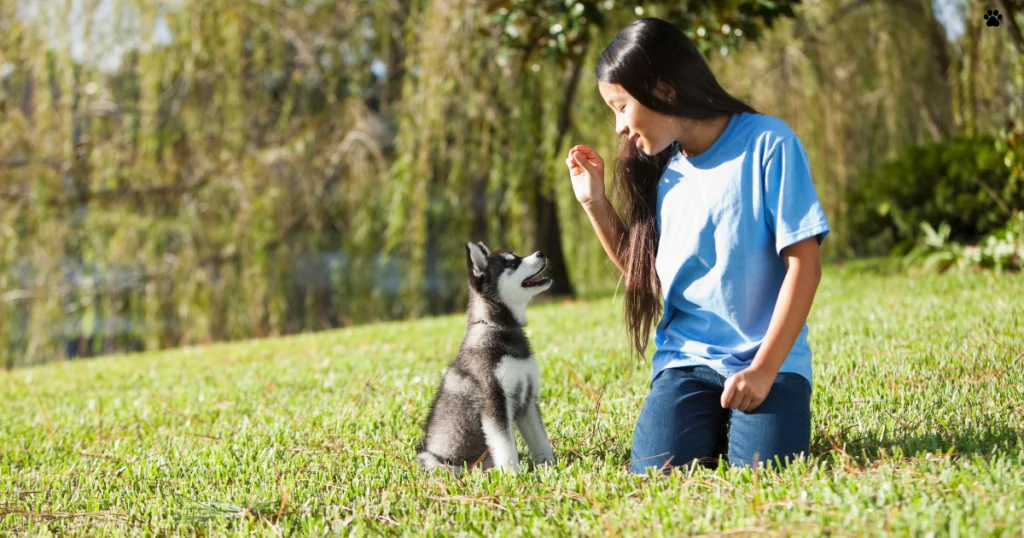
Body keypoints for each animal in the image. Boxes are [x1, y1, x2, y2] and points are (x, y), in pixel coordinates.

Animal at [413, 240, 557, 471]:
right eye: (512, 263)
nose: (540, 253)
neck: (498, 328)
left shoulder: (528, 399)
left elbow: (540, 439)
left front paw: (549, 466)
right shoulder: (494, 401)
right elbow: (506, 446)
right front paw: (513, 474)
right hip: (436, 460)